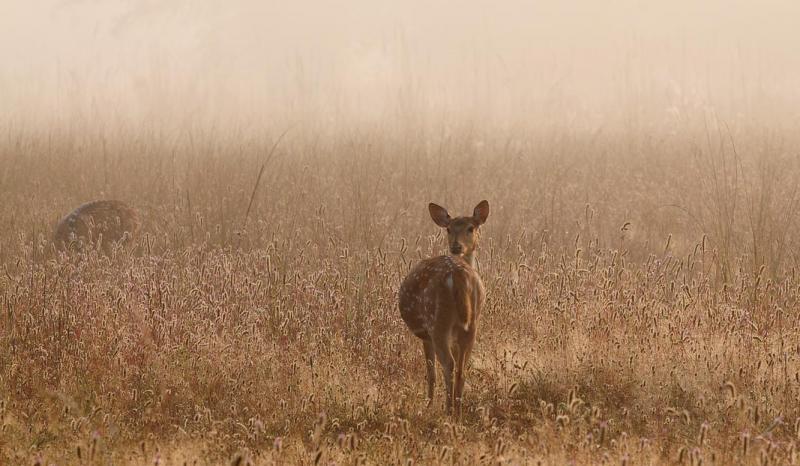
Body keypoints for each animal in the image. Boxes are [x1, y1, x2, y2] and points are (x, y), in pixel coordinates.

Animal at [398, 198, 488, 416]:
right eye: (448, 228)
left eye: (471, 228)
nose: (456, 246)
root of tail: (458, 276)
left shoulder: (425, 335)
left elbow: (430, 371)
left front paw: (428, 404)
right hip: (472, 325)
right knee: (462, 367)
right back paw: (458, 410)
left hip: (437, 322)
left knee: (448, 364)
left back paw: (448, 409)